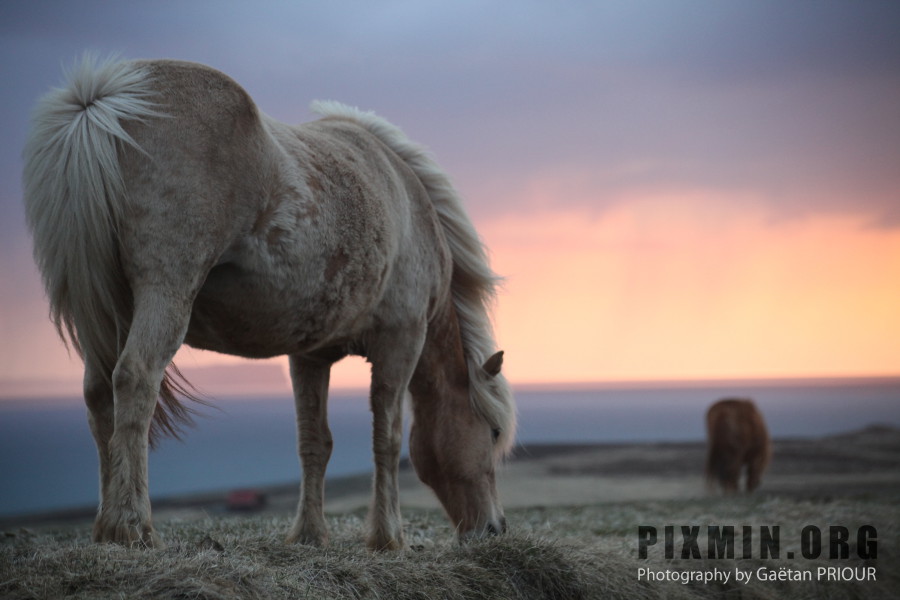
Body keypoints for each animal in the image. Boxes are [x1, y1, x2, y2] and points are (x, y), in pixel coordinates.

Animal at [24, 56, 516, 548]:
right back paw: (132, 525)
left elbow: (315, 442)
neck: (412, 210)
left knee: (98, 395)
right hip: (165, 293)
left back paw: (107, 528)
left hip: (105, 318)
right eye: (493, 432)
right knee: (134, 378)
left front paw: (310, 533)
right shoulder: (402, 338)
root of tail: (103, 97)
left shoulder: (310, 356)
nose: (495, 528)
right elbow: (388, 437)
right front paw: (387, 537)